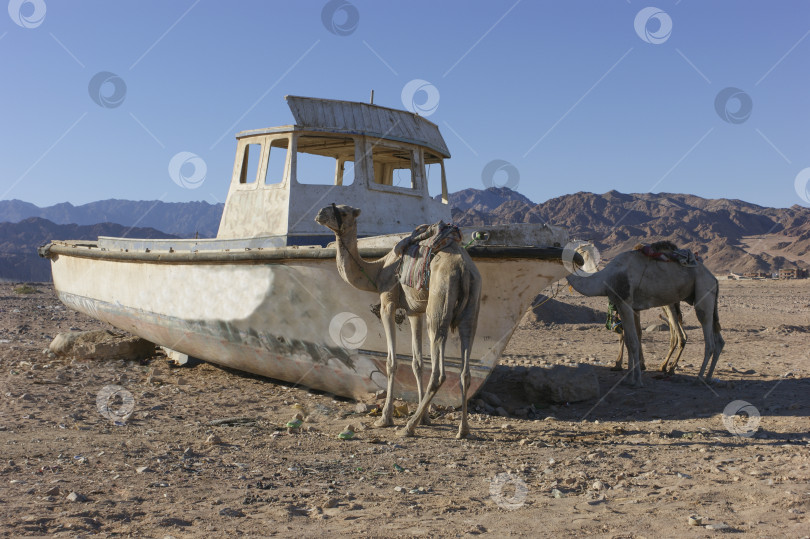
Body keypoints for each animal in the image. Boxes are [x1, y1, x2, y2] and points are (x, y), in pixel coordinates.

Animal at [314, 205, 480, 440]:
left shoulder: (388, 302)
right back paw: (462, 430)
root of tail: (464, 269)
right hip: (471, 307)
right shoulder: (414, 312)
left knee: (439, 371)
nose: (320, 213)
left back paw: (408, 427)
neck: (378, 270)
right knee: (465, 370)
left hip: (439, 305)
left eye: (344, 212)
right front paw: (426, 418)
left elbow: (391, 362)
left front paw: (385, 418)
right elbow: (417, 363)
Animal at [564, 243, 724, 386]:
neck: (605, 278)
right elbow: (630, 339)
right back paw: (707, 377)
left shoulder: (624, 302)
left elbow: (632, 340)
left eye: (580, 251)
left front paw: (637, 380)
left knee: (708, 340)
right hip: (705, 298)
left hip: (702, 292)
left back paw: (698, 379)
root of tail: (714, 278)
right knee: (718, 341)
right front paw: (628, 377)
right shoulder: (628, 306)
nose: (574, 258)